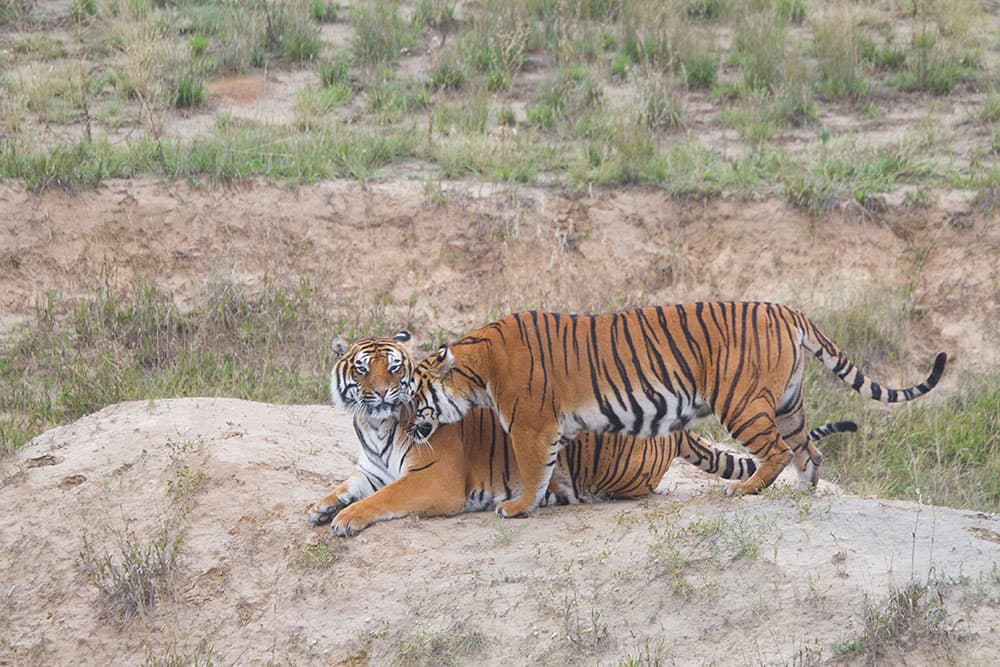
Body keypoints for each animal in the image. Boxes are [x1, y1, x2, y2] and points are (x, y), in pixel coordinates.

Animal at [308, 331, 857, 536]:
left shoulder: (435, 481)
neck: (377, 427)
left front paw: (346, 519)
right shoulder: (369, 468)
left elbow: (382, 499)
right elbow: (346, 487)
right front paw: (320, 506)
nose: (383, 394)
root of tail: (672, 435)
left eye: (395, 368)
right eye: (363, 370)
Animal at [406, 301, 947, 518]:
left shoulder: (531, 426)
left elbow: (533, 469)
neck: (478, 369)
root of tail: (787, 309)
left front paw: (517, 507)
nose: (408, 427)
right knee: (807, 451)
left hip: (741, 401)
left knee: (773, 451)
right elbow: (553, 469)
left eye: (412, 395)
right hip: (788, 403)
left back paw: (745, 489)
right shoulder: (551, 431)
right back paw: (805, 490)